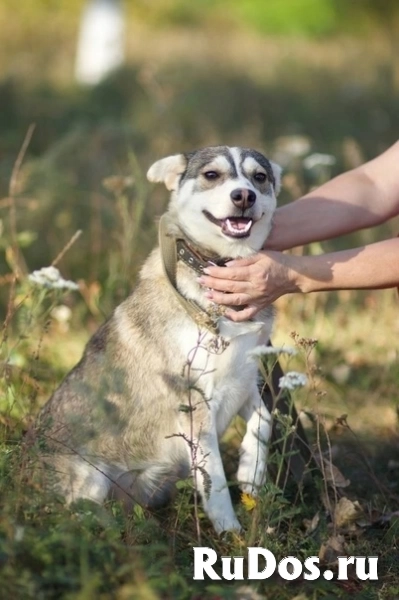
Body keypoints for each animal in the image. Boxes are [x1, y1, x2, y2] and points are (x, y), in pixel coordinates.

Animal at [36, 145, 282, 536]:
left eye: (259, 177)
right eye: (212, 175)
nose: (244, 196)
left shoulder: (246, 379)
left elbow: (263, 421)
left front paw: (251, 473)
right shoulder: (195, 403)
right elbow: (214, 481)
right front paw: (229, 530)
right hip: (90, 477)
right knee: (79, 517)